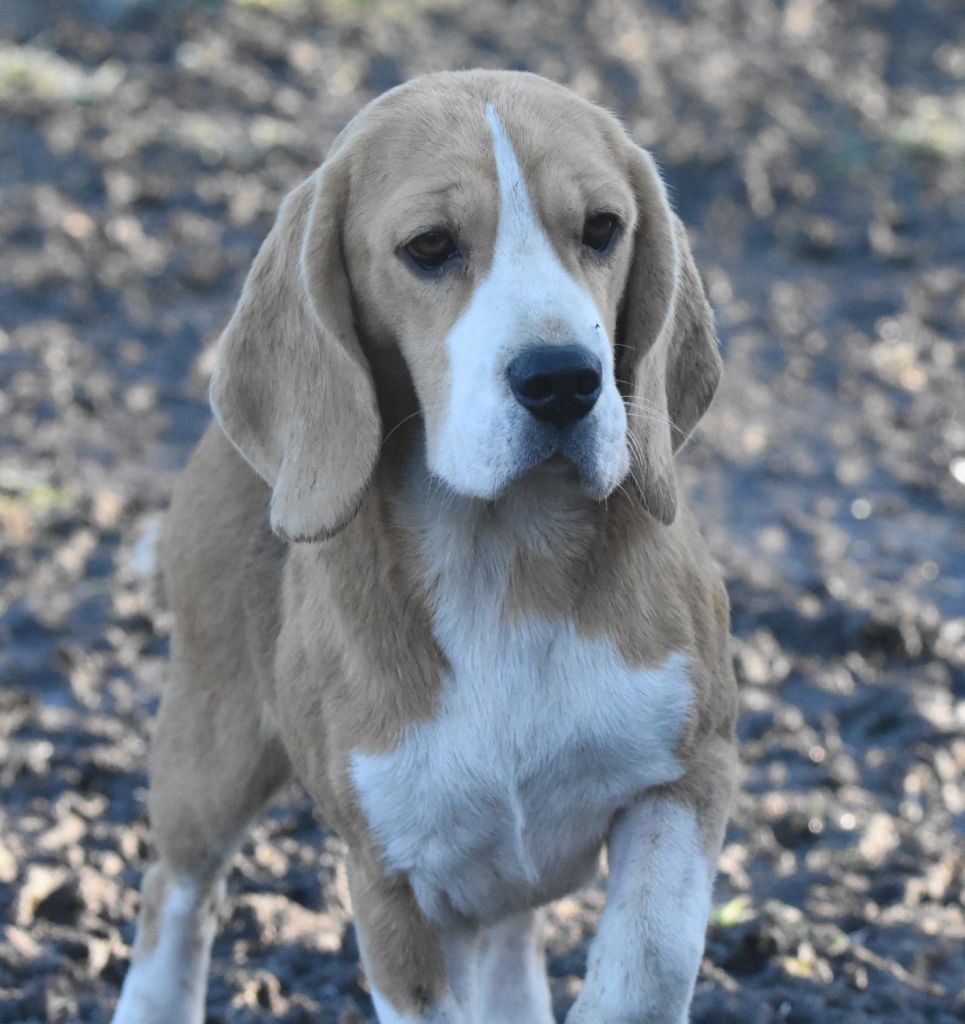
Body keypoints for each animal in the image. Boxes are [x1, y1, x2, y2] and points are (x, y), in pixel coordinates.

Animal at [115, 70, 741, 1024]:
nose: (563, 379)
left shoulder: (687, 773)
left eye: (602, 229)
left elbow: (646, 966)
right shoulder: (391, 880)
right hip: (208, 751)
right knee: (175, 896)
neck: (503, 556)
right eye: (429, 248)